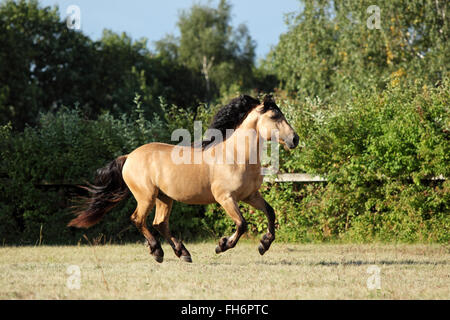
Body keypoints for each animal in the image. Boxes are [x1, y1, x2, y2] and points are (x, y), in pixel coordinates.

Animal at [68, 94, 298, 262]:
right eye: (275, 117)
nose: (294, 139)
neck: (236, 156)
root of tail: (128, 157)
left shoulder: (250, 195)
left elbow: (270, 212)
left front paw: (264, 244)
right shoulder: (225, 198)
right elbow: (242, 224)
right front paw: (222, 245)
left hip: (164, 198)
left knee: (160, 223)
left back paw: (183, 253)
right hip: (146, 196)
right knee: (138, 219)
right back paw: (158, 252)